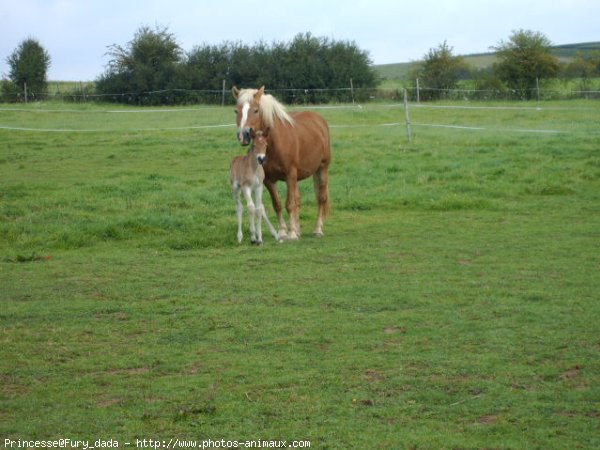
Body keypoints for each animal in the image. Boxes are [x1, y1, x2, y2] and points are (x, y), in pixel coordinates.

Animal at [232, 85, 332, 239]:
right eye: (236, 110)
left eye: (256, 110)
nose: (244, 135)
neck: (274, 144)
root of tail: (319, 120)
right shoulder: (268, 180)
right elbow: (278, 204)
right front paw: (284, 231)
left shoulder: (290, 174)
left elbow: (289, 204)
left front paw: (292, 233)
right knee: (298, 200)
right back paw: (298, 228)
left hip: (322, 168)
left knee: (321, 198)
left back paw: (317, 229)